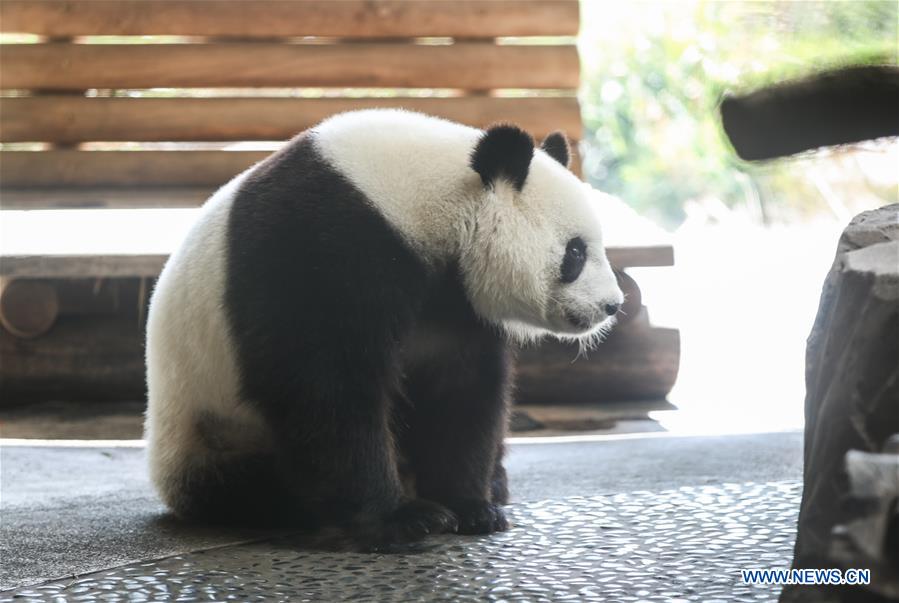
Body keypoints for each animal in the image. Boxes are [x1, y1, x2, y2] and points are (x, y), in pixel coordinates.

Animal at [146, 107, 624, 548]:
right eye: (575, 253)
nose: (612, 305)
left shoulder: (453, 302)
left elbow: (461, 388)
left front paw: (471, 506)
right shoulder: (317, 247)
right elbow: (325, 388)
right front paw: (401, 520)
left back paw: (494, 481)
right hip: (210, 430)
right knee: (253, 483)